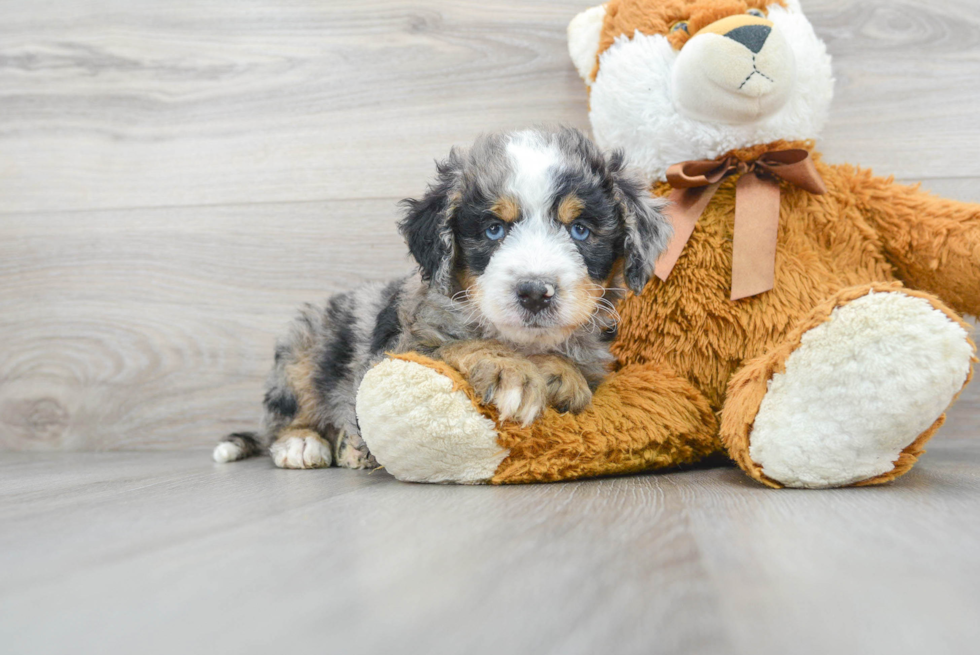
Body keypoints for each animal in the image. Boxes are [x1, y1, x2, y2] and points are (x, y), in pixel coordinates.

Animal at [212, 125, 672, 468]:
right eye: (493, 230)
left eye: (580, 230)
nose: (534, 293)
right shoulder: (392, 355)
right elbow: (457, 347)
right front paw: (514, 374)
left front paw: (562, 376)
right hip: (303, 349)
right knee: (284, 414)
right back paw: (303, 443)